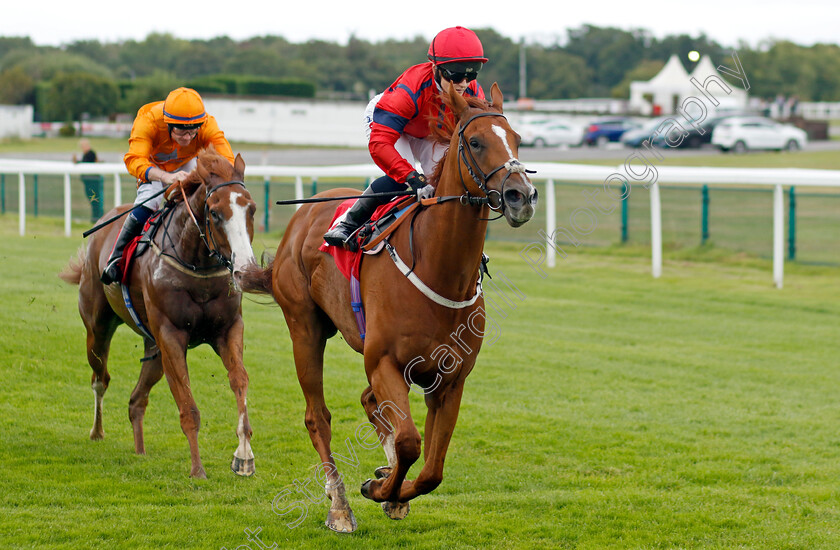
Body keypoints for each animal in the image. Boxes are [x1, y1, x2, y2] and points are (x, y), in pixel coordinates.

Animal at [60, 149, 258, 480]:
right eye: (215, 212)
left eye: (251, 209)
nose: (245, 268)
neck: (198, 265)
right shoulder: (172, 336)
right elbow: (188, 407)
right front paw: (197, 470)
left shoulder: (229, 328)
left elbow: (239, 380)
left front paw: (243, 457)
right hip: (98, 329)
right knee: (100, 378)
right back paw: (97, 432)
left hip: (154, 350)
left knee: (136, 401)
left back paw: (140, 451)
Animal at [241, 83, 540, 536]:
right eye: (474, 142)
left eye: (518, 139)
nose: (521, 196)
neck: (438, 268)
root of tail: (301, 219)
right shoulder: (384, 362)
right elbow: (409, 442)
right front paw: (378, 489)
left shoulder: (450, 378)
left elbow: (432, 468)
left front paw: (391, 490)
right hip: (304, 328)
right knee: (318, 416)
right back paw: (339, 505)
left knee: (370, 403)